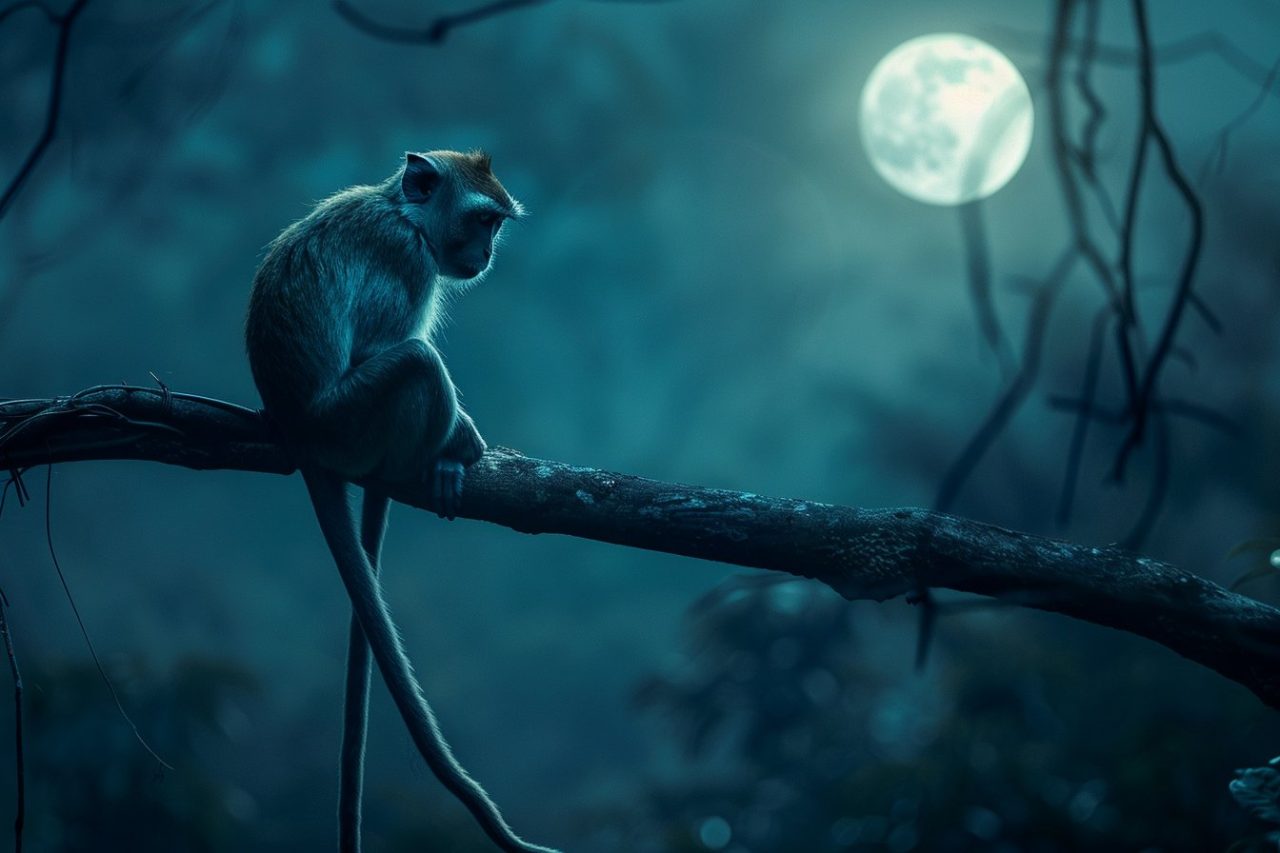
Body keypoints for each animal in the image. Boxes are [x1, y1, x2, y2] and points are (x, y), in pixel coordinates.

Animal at [245, 150, 556, 853]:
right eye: (482, 220)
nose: (486, 253)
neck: (403, 212)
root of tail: (298, 429)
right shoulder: (406, 261)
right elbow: (381, 347)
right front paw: (461, 440)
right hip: (349, 421)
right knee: (415, 359)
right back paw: (437, 457)